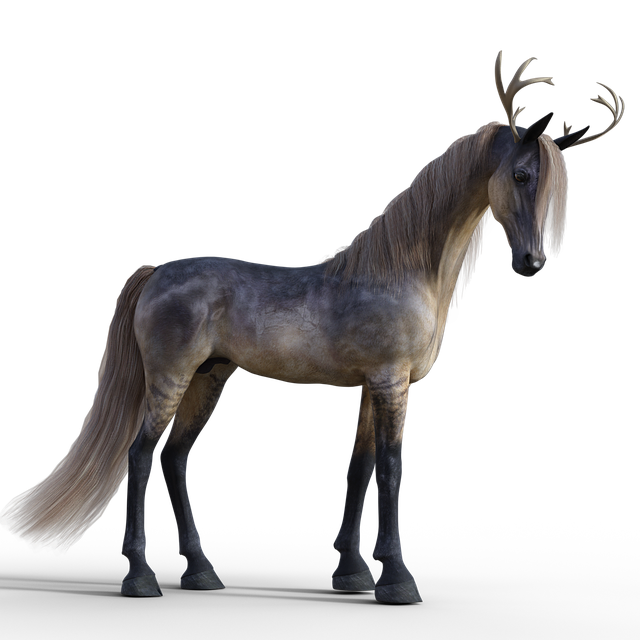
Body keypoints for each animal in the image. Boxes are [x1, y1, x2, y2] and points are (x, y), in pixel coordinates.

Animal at [0, 49, 625, 602]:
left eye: (556, 184)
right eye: (520, 174)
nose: (533, 263)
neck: (400, 272)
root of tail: (157, 273)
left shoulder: (376, 387)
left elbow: (360, 466)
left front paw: (351, 571)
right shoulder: (390, 384)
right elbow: (390, 468)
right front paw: (396, 579)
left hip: (208, 378)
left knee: (175, 456)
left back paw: (201, 571)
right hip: (170, 378)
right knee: (140, 452)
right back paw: (140, 576)